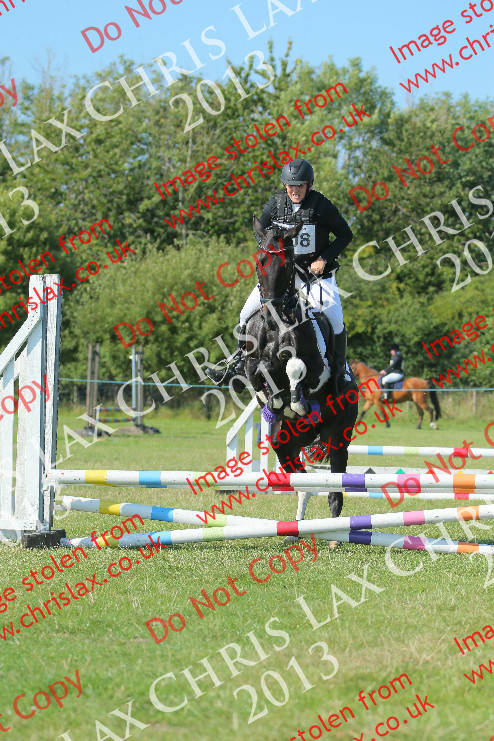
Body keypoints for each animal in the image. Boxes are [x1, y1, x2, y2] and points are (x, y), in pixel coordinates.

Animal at [240, 216, 358, 529]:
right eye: (259, 261)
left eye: (286, 263)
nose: (271, 311)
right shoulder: (252, 361)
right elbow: (258, 371)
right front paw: (274, 400)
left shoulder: (317, 370)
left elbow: (295, 366)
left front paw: (295, 402)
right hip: (284, 444)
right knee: (303, 483)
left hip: (338, 436)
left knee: (334, 490)